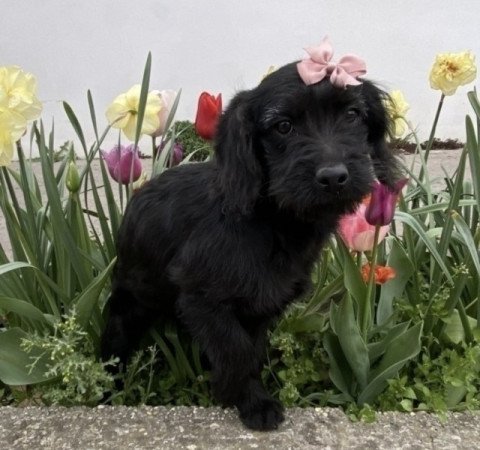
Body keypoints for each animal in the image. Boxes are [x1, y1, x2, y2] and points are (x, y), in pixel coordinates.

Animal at [102, 60, 402, 428]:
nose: (333, 177)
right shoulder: (203, 299)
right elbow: (237, 351)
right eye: (283, 126)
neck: (271, 220)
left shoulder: (261, 304)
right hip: (131, 302)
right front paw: (251, 402)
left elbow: (252, 350)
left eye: (352, 114)